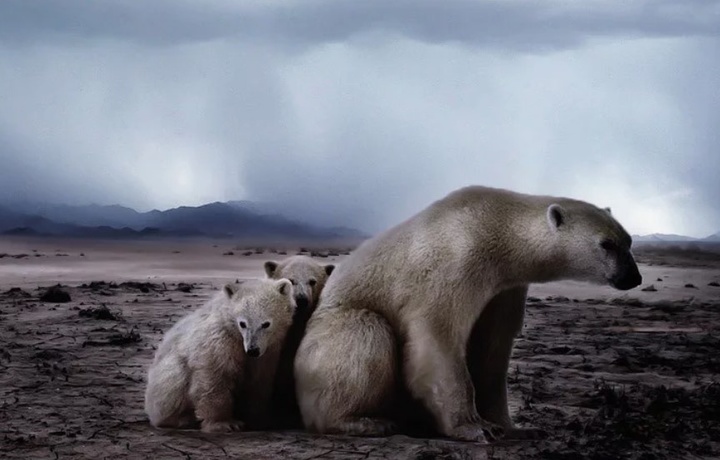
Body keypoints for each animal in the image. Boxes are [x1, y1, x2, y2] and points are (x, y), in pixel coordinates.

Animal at [144, 278, 296, 434]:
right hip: (164, 381)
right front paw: (224, 423)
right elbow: (215, 376)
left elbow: (259, 381)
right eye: (242, 323)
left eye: (266, 324)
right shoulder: (219, 340)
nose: (252, 350)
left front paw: (259, 420)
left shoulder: (268, 352)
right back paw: (182, 419)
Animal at [292, 185, 640, 444]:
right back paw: (365, 422)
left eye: (629, 240)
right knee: (365, 332)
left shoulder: (504, 288)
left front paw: (516, 428)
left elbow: (493, 351)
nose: (633, 277)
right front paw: (476, 427)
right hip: (332, 329)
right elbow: (438, 336)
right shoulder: (455, 263)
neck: (495, 224)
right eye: (606, 244)